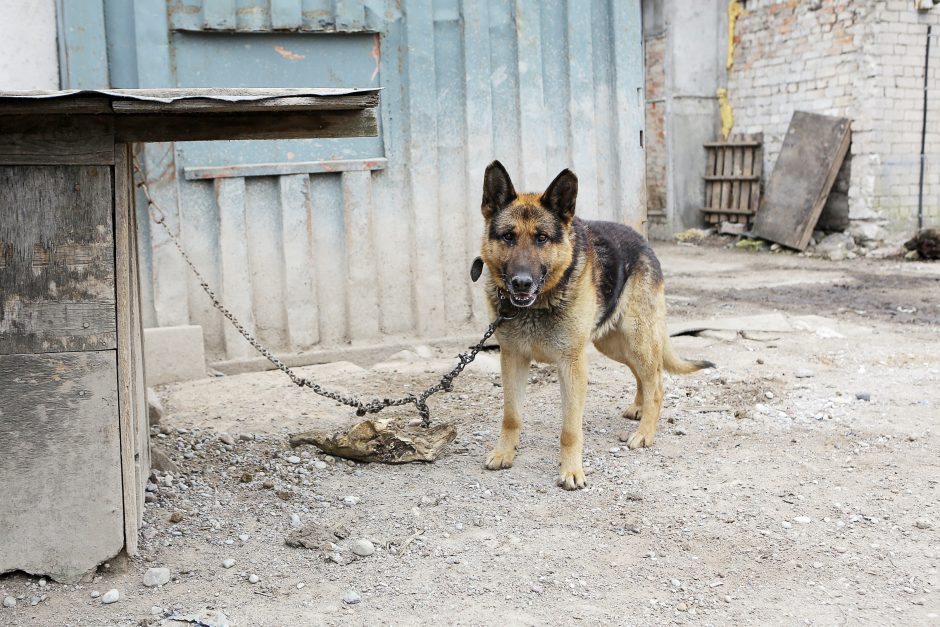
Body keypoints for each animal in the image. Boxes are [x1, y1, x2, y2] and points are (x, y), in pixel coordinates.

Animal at [478, 161, 712, 490]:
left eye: (541, 238)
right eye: (509, 236)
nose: (521, 282)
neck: (539, 304)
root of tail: (643, 240)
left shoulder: (572, 365)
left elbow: (570, 429)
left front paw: (571, 470)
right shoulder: (513, 358)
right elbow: (511, 415)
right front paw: (504, 453)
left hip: (637, 339)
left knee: (656, 382)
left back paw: (645, 431)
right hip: (613, 344)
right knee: (643, 374)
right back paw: (639, 408)